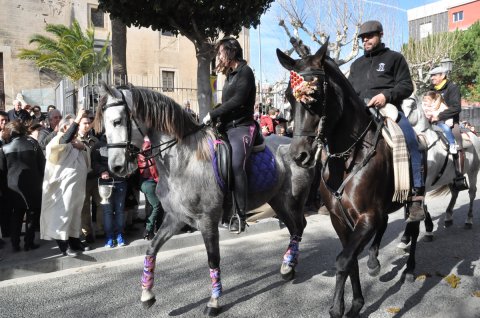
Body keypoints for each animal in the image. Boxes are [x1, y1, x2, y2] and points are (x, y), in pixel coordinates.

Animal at [96, 83, 316, 316]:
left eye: (117, 121)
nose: (116, 167)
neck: (184, 160)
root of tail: (301, 149)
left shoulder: (207, 220)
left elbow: (213, 259)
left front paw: (214, 302)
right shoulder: (175, 218)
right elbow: (151, 249)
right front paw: (147, 294)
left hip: (292, 201)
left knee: (298, 227)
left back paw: (289, 266)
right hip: (278, 201)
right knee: (295, 229)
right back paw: (288, 267)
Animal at [402, 95, 480, 231]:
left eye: (411, 106)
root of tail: (472, 133)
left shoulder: (425, 182)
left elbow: (422, 203)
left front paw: (428, 228)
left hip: (473, 171)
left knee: (472, 193)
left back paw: (469, 220)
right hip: (451, 175)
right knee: (455, 192)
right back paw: (448, 217)